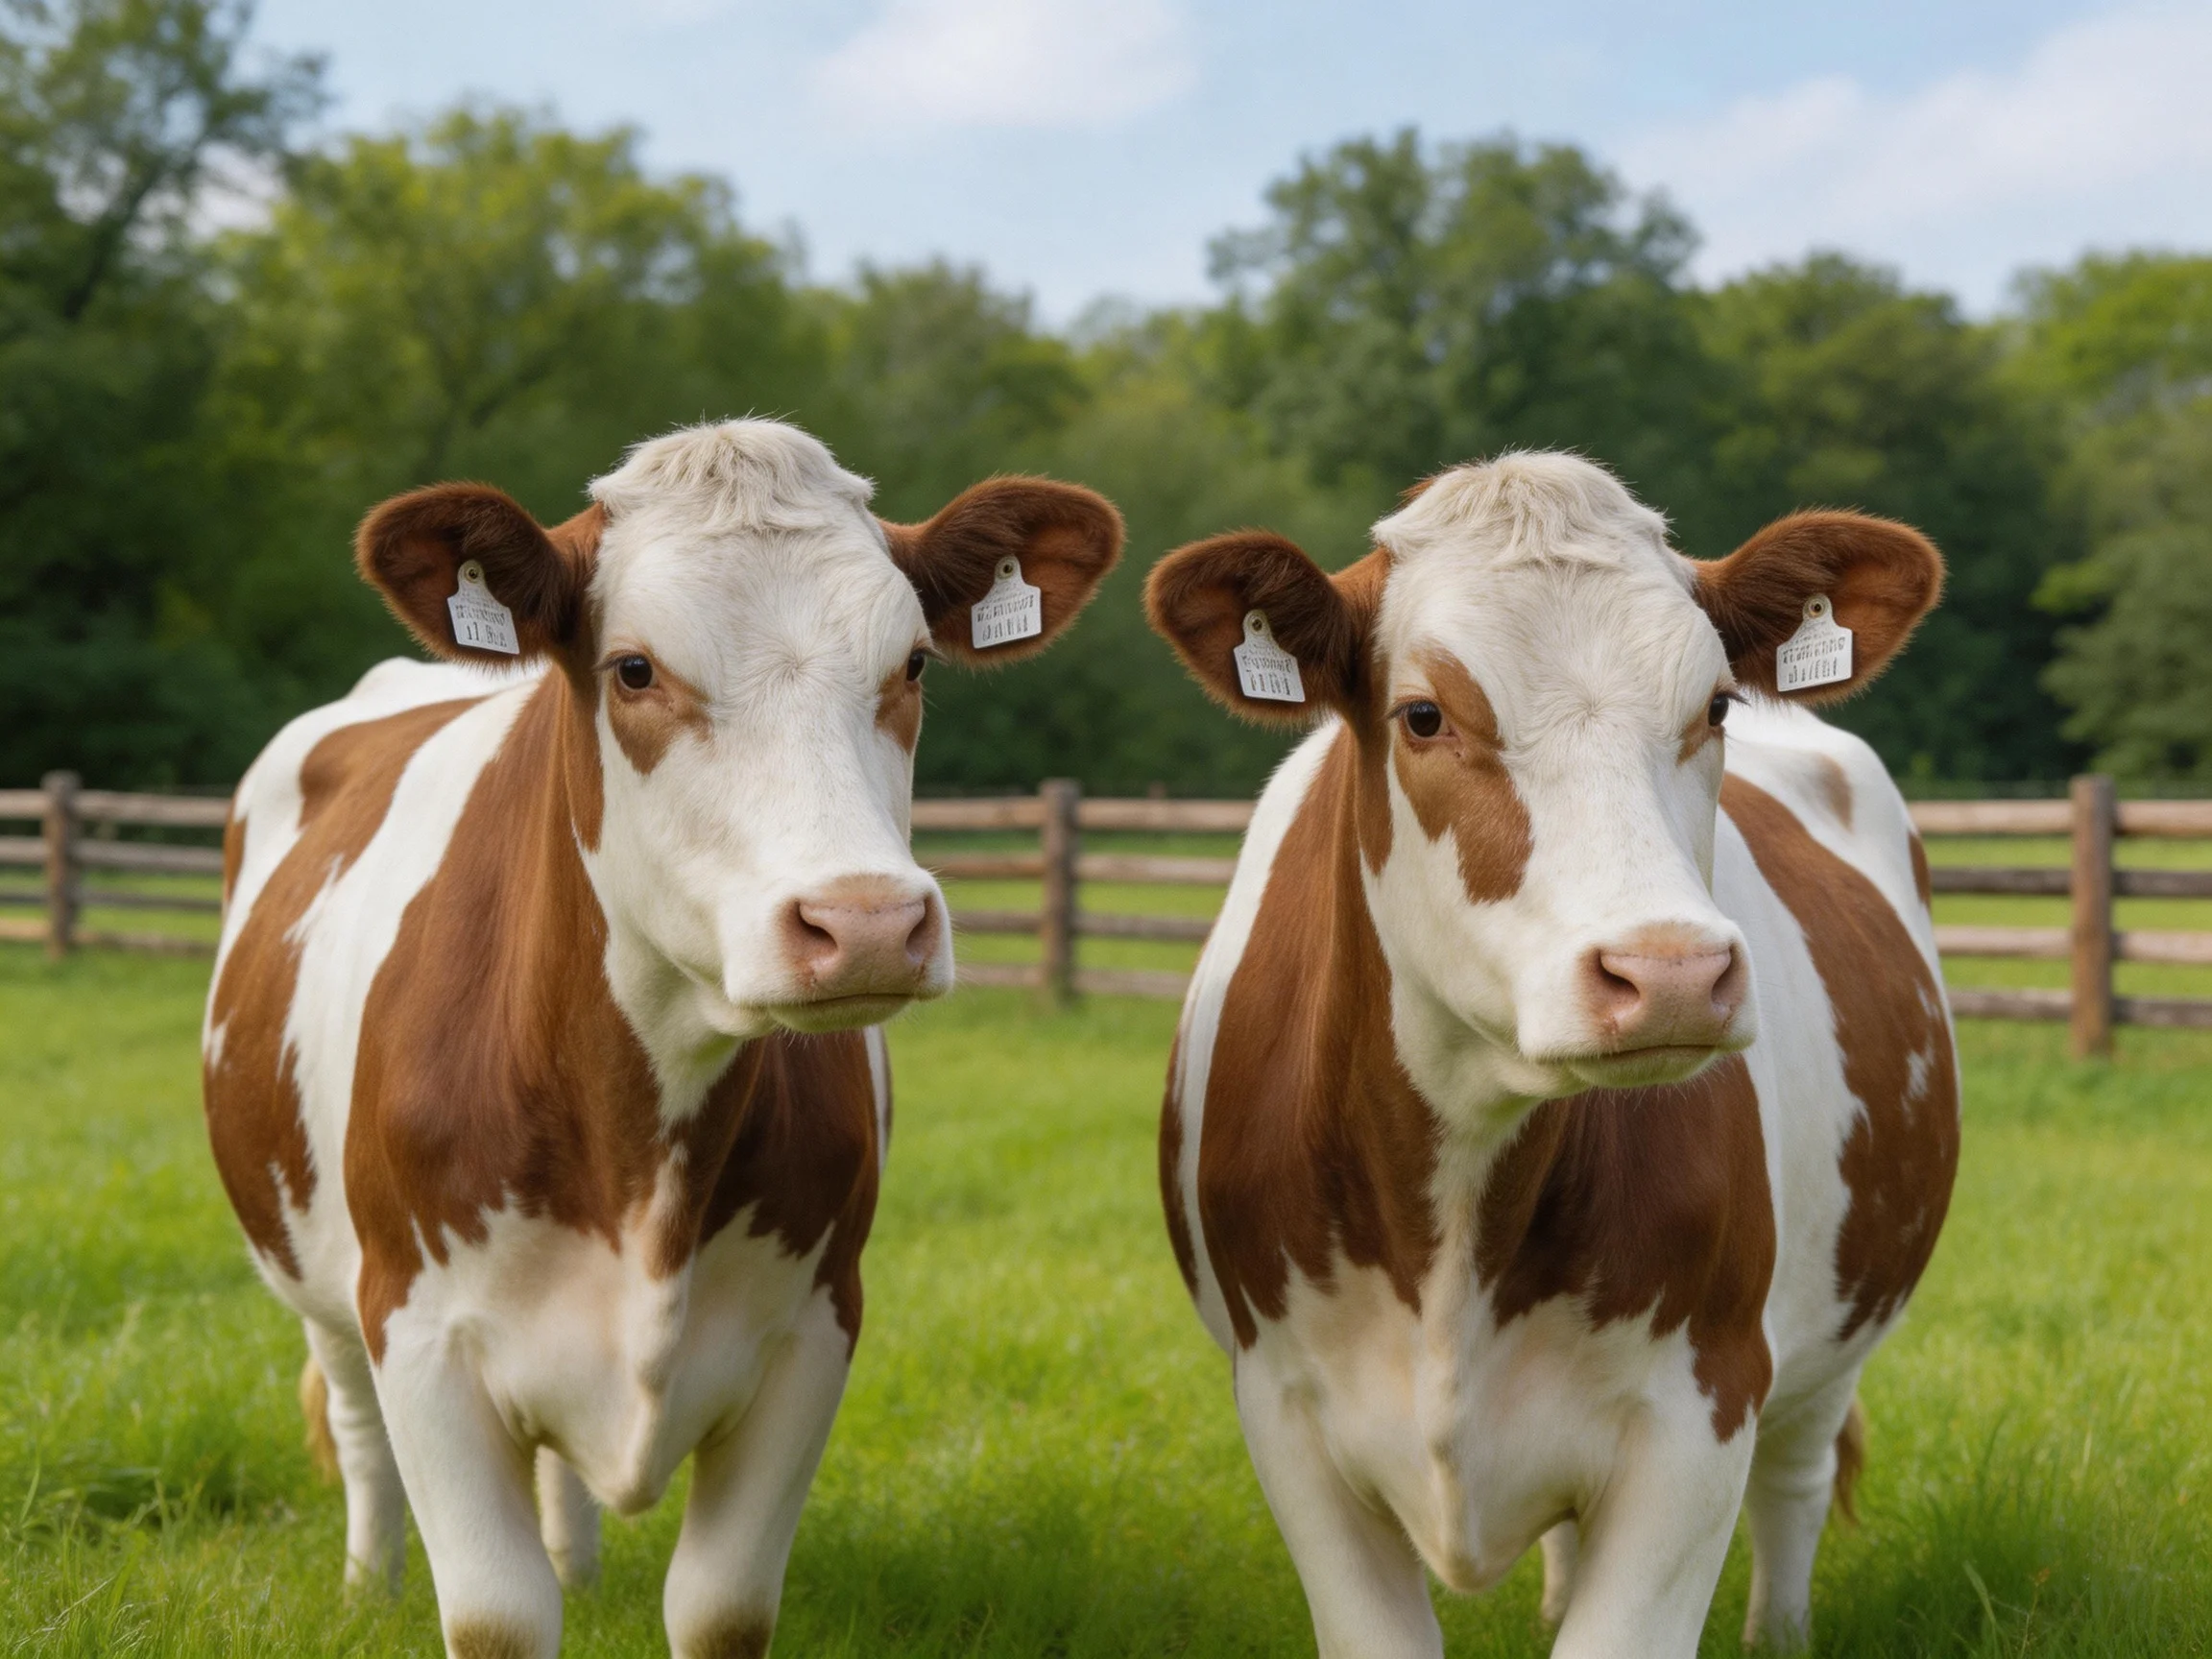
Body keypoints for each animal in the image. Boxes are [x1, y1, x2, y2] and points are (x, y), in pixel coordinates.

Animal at [201, 419, 1120, 1659]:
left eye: (915, 664)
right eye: (635, 668)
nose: (868, 922)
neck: (637, 1150)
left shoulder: (815, 1327)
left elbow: (720, 1608)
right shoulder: (419, 1331)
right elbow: (494, 1613)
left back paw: (578, 1570)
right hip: (317, 1276)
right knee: (351, 1426)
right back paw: (367, 1587)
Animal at [1144, 453, 1955, 1657]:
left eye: (1714, 704)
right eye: (1424, 715)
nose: (1671, 970)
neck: (1455, 1222)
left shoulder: (1702, 1410)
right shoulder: (1286, 1412)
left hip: (1829, 1337)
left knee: (1797, 1489)